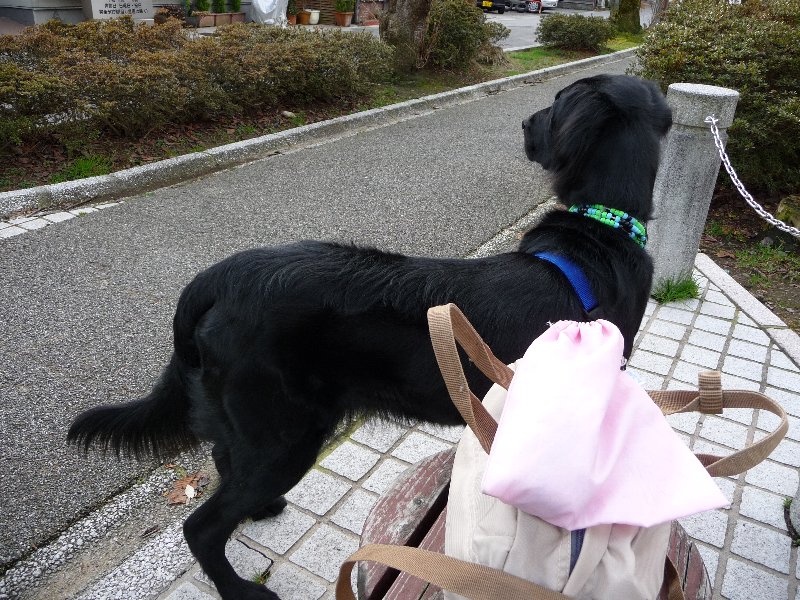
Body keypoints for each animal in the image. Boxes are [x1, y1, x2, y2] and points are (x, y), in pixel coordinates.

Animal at [68, 74, 672, 600]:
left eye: (555, 103)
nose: (525, 121)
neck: (602, 228)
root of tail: (220, 276)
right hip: (287, 433)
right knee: (201, 526)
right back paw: (241, 589)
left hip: (255, 423)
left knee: (222, 462)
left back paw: (258, 512)